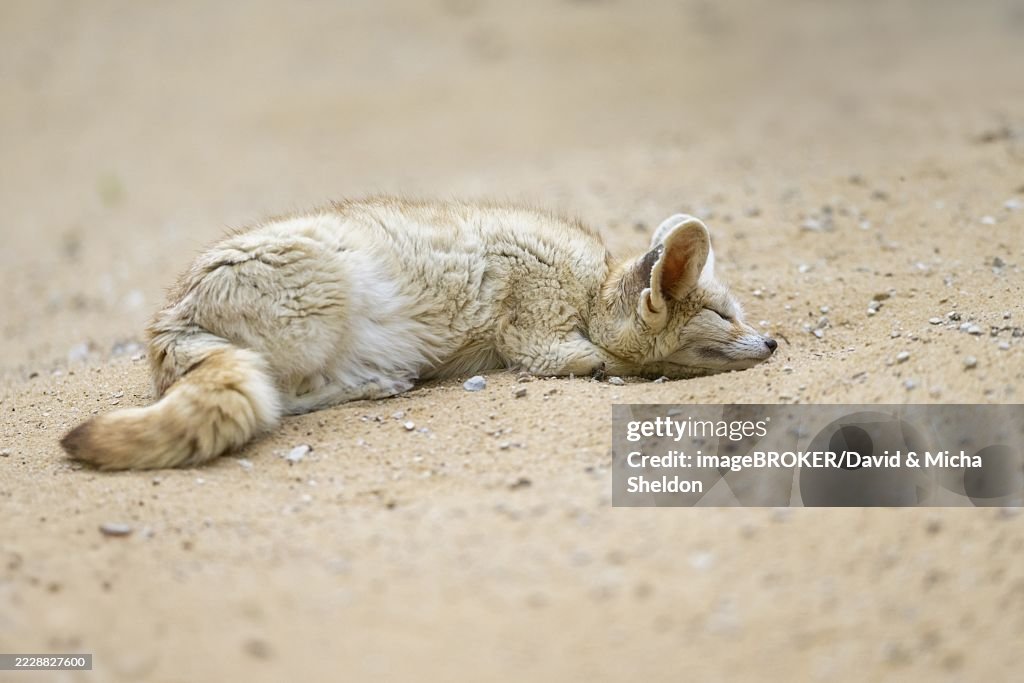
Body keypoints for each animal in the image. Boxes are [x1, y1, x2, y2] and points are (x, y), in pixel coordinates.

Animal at [60, 197, 777, 470]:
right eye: (723, 317)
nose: (773, 344)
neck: (588, 288)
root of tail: (169, 318)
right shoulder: (537, 327)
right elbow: (593, 359)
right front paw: (609, 363)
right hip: (327, 295)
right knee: (281, 395)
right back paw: (381, 384)